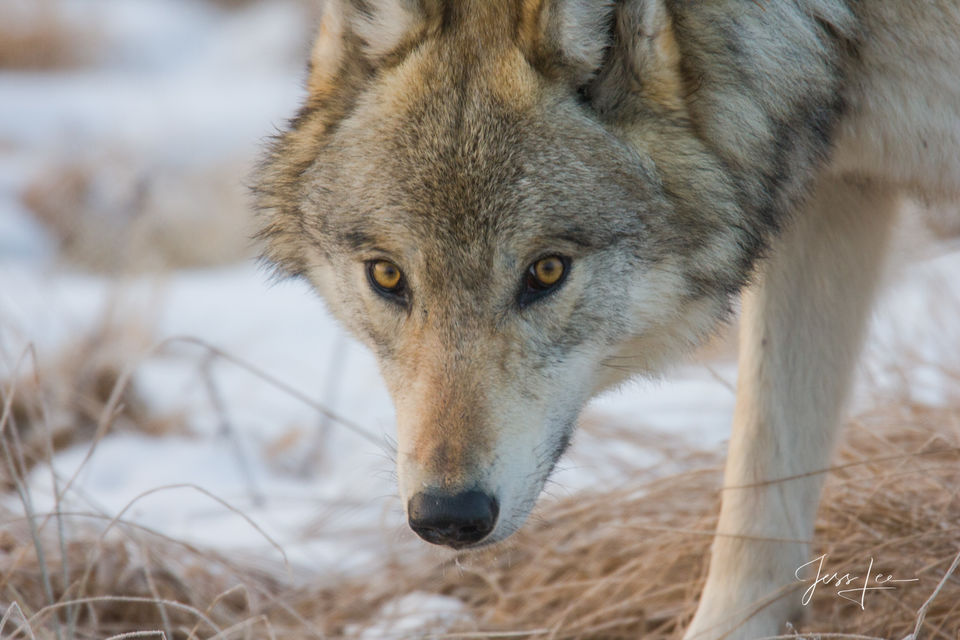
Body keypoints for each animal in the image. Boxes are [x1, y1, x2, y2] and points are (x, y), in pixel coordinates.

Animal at [253, 2, 960, 636]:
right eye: (387, 276)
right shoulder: (837, 192)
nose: (447, 515)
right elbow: (760, 502)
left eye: (545, 271)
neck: (847, 23)